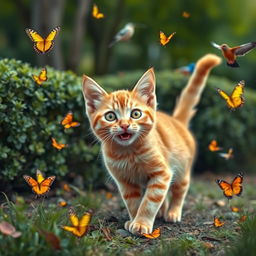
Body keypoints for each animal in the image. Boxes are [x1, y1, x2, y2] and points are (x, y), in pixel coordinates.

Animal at [81, 54, 220, 234]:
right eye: (110, 116)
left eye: (135, 114)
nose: (124, 125)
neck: (128, 153)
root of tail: (177, 121)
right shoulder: (124, 181)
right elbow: (133, 202)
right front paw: (134, 219)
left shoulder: (162, 173)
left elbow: (150, 201)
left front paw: (141, 223)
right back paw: (162, 210)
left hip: (182, 169)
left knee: (179, 190)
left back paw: (173, 212)